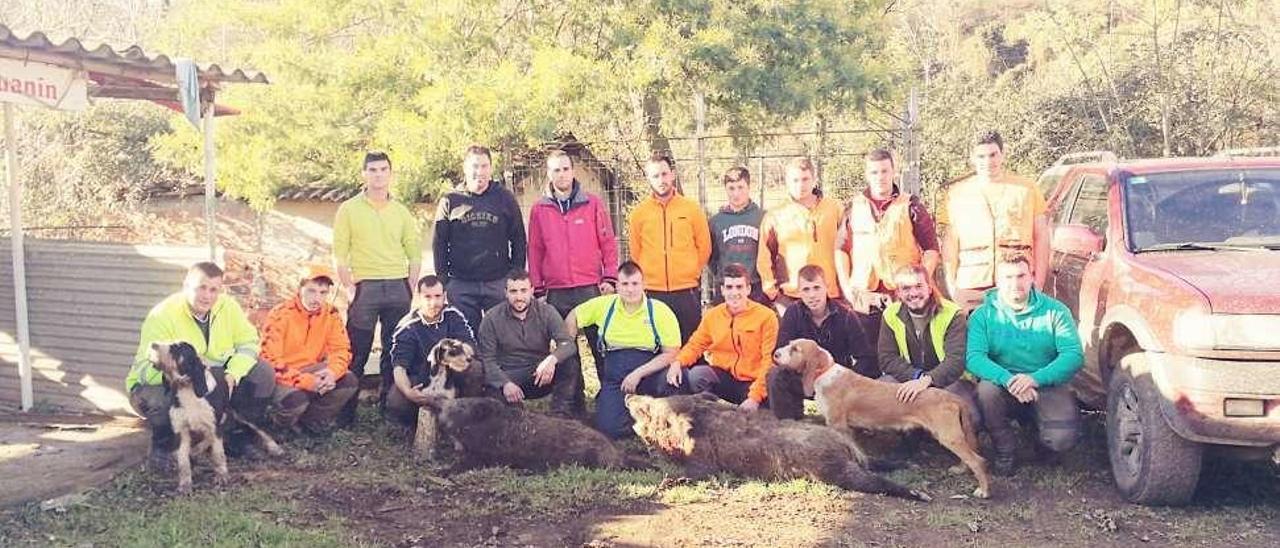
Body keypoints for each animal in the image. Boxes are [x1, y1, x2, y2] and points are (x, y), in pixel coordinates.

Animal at [768, 338, 988, 496]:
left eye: (795, 349)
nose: (775, 354)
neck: (825, 373)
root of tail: (951, 397)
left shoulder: (838, 425)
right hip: (955, 436)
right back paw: (960, 468)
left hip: (948, 437)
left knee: (978, 461)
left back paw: (984, 491)